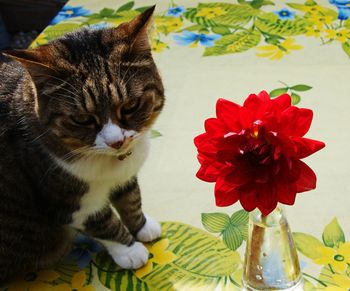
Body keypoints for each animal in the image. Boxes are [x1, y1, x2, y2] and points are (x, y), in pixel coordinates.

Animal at [0, 5, 165, 282]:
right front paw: (130, 251)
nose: (117, 141)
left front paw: (142, 227)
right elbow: (104, 222)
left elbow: (131, 199)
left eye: (130, 106)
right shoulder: (66, 200)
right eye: (82, 119)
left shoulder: (124, 177)